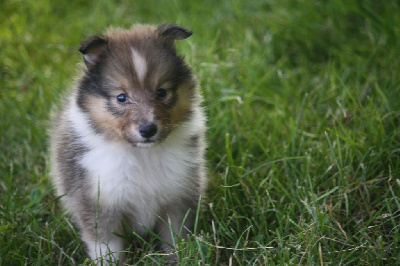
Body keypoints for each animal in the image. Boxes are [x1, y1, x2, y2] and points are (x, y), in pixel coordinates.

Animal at [49, 24, 206, 264]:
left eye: (161, 92)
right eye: (121, 97)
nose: (148, 130)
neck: (142, 154)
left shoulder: (177, 198)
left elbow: (175, 239)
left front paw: (178, 259)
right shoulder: (100, 203)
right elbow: (107, 249)